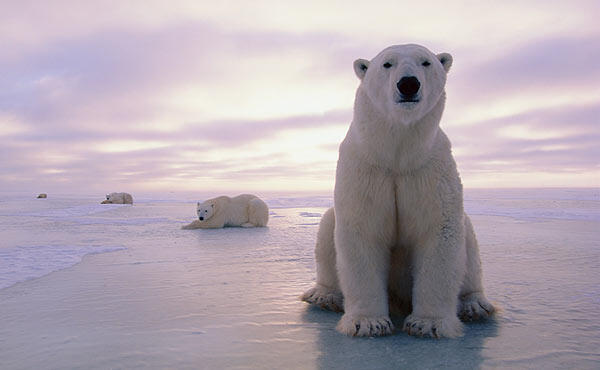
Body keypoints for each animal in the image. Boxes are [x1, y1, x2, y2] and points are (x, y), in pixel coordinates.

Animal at [302, 43, 494, 338]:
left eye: (426, 62)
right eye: (387, 64)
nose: (408, 84)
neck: (397, 156)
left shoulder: (428, 171)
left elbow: (438, 230)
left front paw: (428, 324)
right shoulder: (367, 170)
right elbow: (362, 232)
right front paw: (368, 323)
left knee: (468, 237)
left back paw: (475, 305)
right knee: (327, 226)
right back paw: (324, 296)